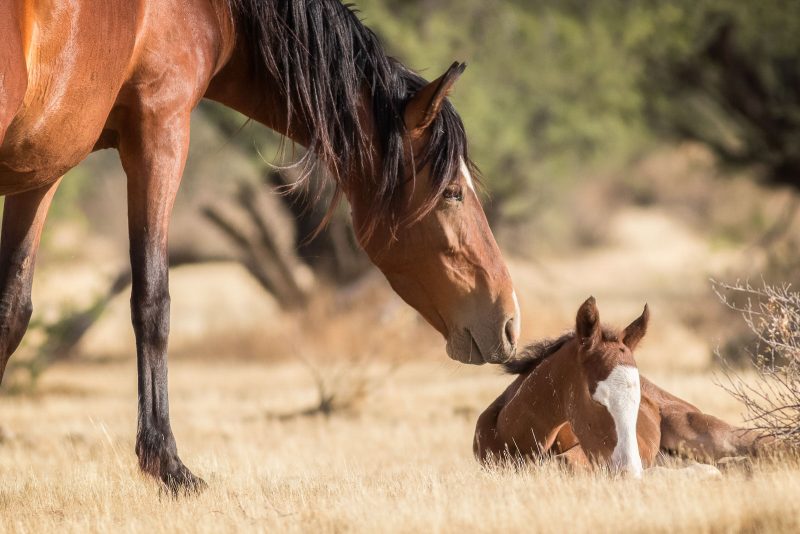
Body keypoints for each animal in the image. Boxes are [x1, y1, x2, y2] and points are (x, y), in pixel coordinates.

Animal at [0, 0, 520, 494]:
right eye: (452, 192)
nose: (509, 319)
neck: (211, 13)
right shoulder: (159, 132)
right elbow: (152, 302)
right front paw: (169, 466)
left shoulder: (45, 160)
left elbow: (13, 309)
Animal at [476, 300, 768, 480]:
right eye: (595, 400)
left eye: (639, 401)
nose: (628, 470)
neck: (510, 433)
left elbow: (563, 462)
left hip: (709, 433)